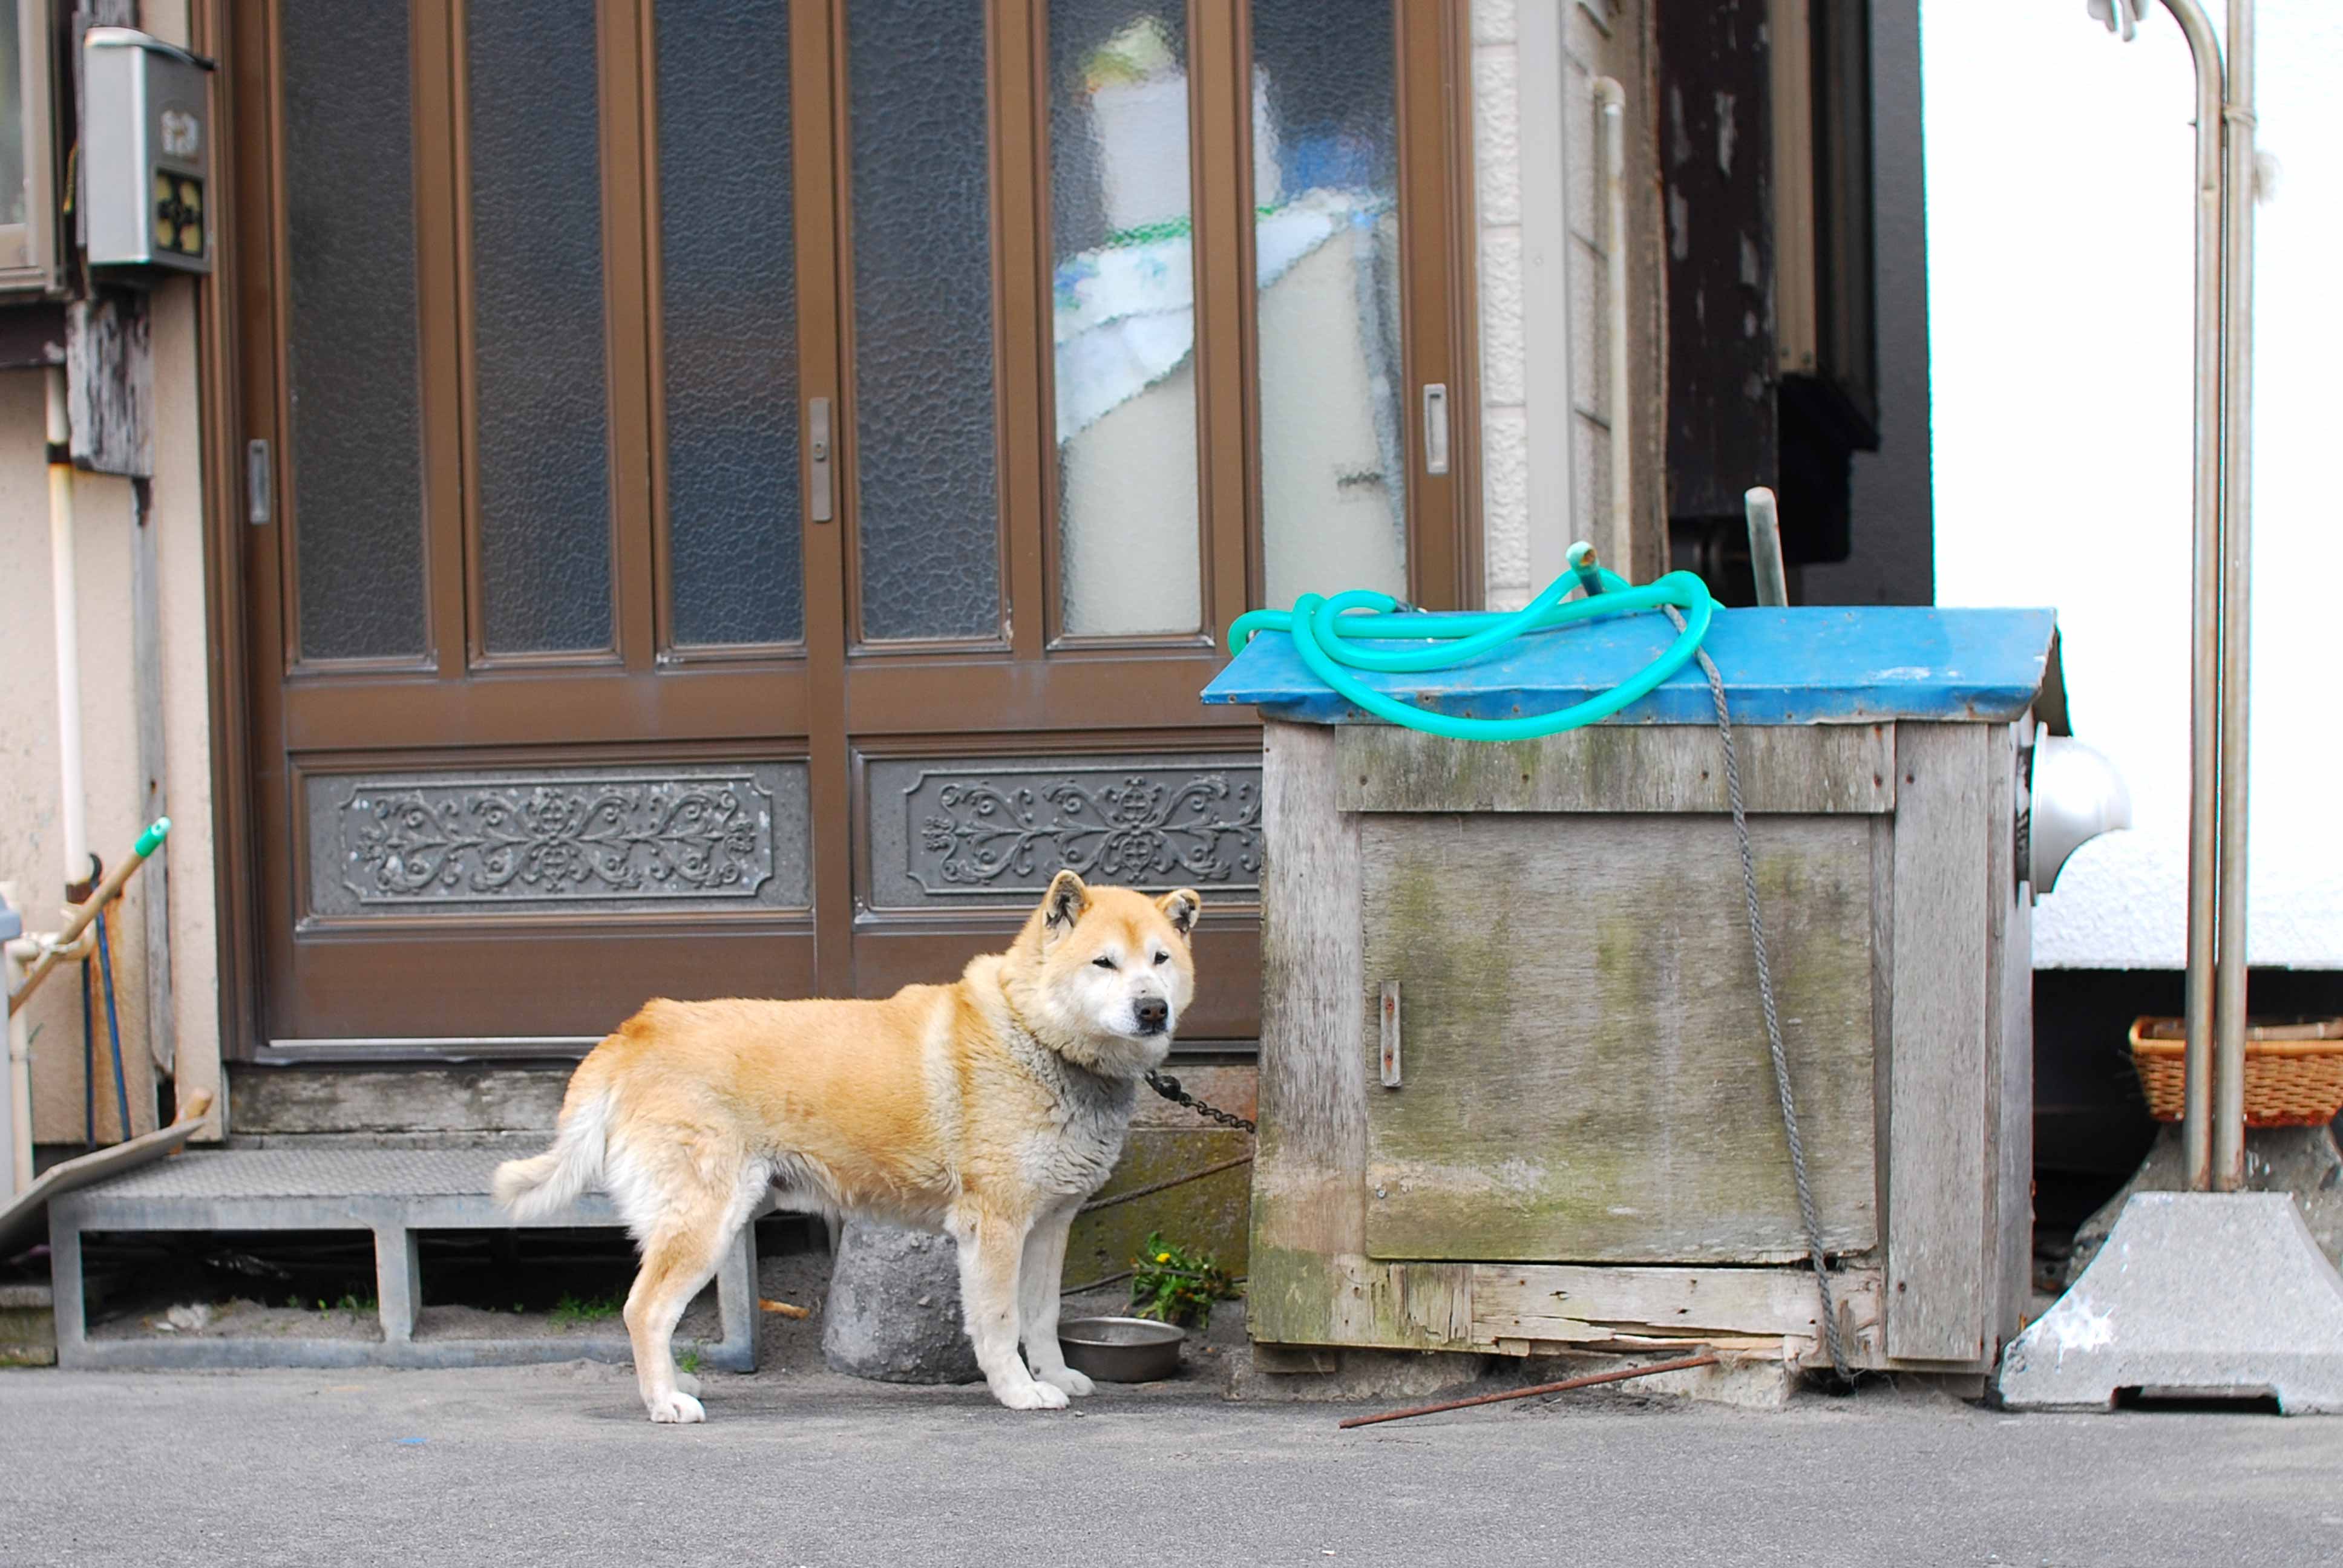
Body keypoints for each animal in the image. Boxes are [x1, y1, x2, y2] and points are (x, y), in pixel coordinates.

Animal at [487, 867, 1199, 1416]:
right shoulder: (994, 1227)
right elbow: (1000, 1323)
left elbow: (1042, 1317)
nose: (1152, 1009)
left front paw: (1054, 1378)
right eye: (1103, 963)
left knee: (655, 1315)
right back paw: (664, 1402)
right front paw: (1018, 1392)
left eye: (1160, 960)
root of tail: (636, 1030)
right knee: (645, 1311)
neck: (1037, 1038)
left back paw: (670, 1384)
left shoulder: (1050, 1224)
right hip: (703, 1223)